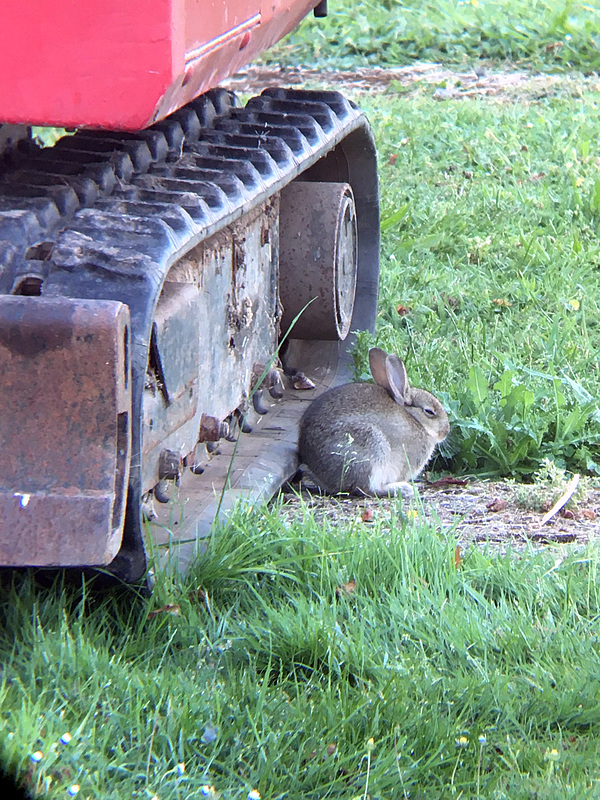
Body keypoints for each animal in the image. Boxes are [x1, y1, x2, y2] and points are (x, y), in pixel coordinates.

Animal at [298, 346, 448, 496]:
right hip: (371, 449)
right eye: (429, 412)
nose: (445, 432)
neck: (415, 419)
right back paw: (404, 489)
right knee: (367, 488)